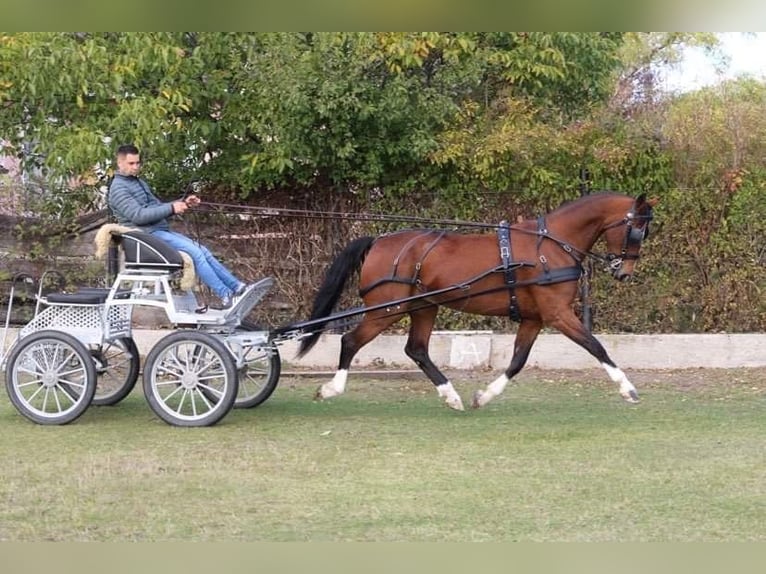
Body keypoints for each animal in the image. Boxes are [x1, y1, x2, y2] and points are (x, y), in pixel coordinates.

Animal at [296, 195, 656, 414]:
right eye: (637, 229)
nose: (624, 271)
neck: (550, 246)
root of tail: (379, 241)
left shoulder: (534, 319)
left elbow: (518, 361)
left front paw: (484, 395)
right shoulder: (557, 314)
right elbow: (596, 347)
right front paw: (628, 389)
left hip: (424, 306)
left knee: (416, 349)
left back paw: (450, 395)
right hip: (388, 309)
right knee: (350, 340)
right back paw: (332, 388)